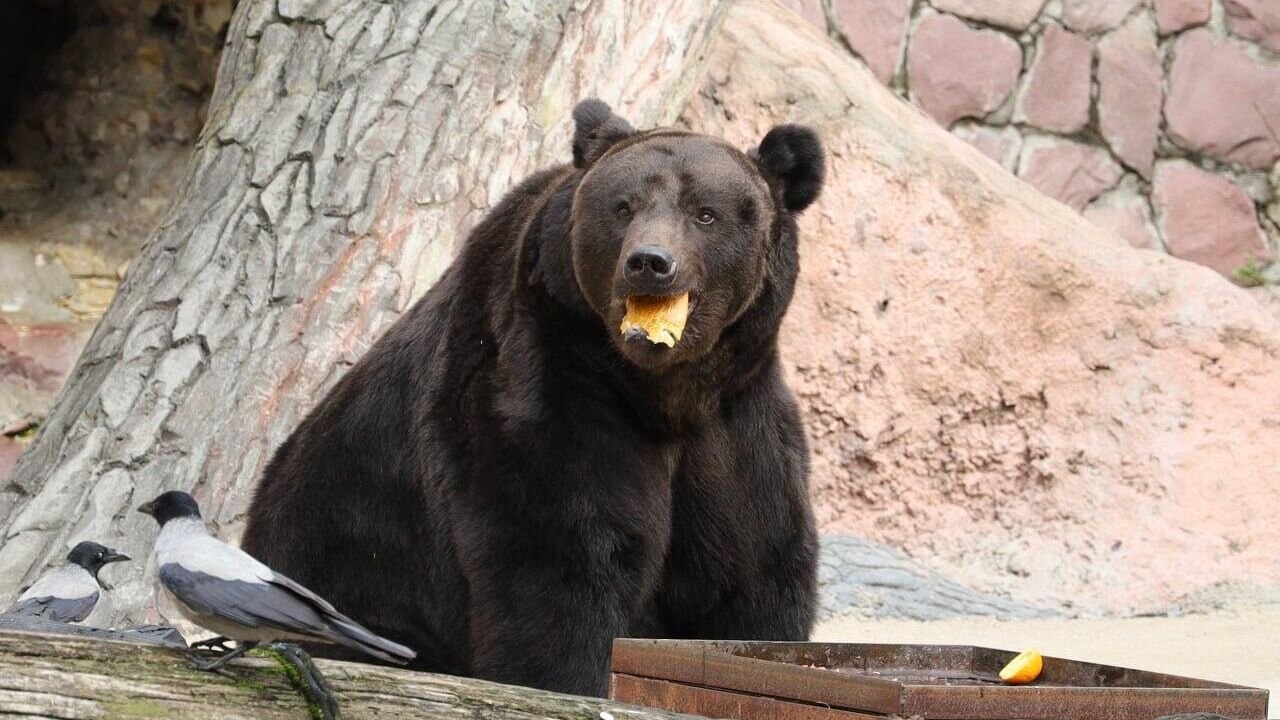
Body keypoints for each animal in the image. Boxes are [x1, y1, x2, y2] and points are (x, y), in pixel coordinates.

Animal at [243, 98, 824, 691]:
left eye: (705, 212)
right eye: (623, 206)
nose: (650, 262)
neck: (665, 391)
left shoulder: (737, 420)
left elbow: (754, 566)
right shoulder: (549, 381)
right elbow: (560, 565)